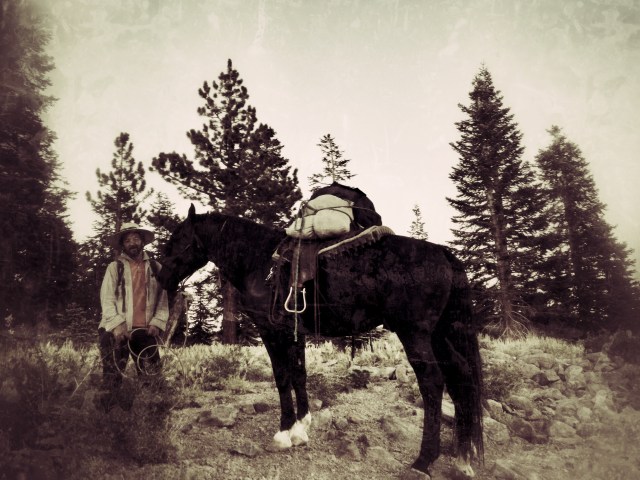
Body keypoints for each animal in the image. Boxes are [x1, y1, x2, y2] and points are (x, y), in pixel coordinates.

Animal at [157, 204, 484, 478]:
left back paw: (424, 460)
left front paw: (283, 433)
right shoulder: (294, 332)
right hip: (440, 334)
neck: (259, 262)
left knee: (433, 383)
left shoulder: (271, 331)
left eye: (176, 239)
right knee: (462, 377)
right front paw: (301, 428)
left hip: (414, 334)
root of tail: (443, 253)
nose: (161, 280)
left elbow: (282, 377)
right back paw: (463, 458)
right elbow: (299, 375)